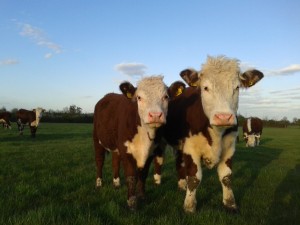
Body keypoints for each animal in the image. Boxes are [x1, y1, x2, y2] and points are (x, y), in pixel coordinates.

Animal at [92, 76, 184, 211]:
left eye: (166, 96)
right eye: (139, 97)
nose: (155, 115)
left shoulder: (151, 152)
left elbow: (143, 174)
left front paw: (142, 196)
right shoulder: (126, 150)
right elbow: (131, 176)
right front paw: (131, 202)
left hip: (116, 146)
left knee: (115, 162)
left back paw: (116, 183)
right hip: (97, 140)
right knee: (99, 161)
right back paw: (99, 183)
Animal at [161, 55, 264, 213]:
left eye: (237, 87)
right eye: (205, 88)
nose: (223, 117)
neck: (216, 133)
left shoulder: (229, 148)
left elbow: (226, 177)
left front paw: (230, 203)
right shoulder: (190, 148)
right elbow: (194, 178)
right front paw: (189, 206)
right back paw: (181, 184)